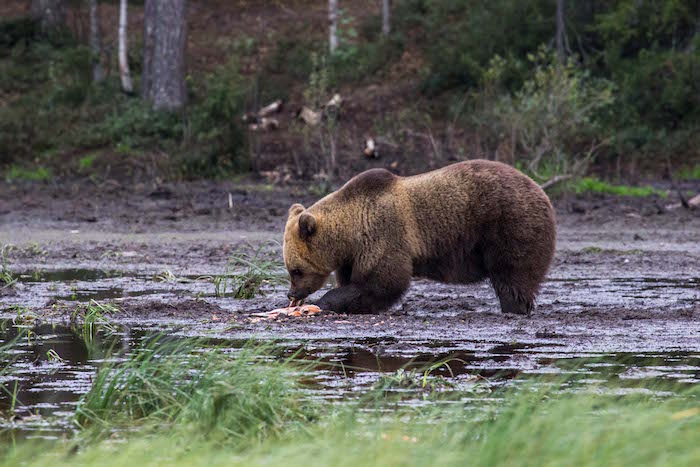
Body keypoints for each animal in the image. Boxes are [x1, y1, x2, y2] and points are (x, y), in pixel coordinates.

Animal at [282, 159, 556, 316]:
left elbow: (383, 281)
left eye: (296, 270)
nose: (291, 294)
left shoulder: (384, 234)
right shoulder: (353, 256)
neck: (350, 233)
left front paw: (326, 302)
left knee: (512, 274)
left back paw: (514, 308)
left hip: (509, 223)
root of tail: (540, 190)